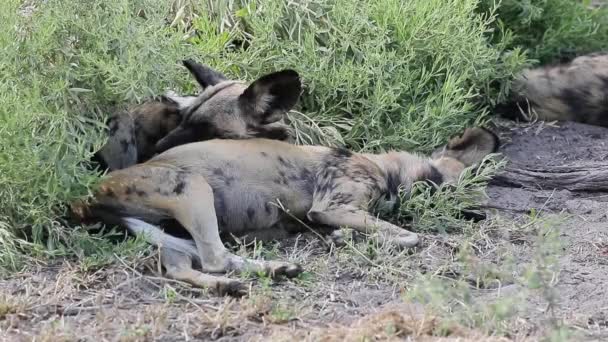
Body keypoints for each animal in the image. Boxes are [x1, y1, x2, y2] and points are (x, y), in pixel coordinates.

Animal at [72, 124, 498, 296]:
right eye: (437, 180)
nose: (433, 198)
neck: (384, 170)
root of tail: (88, 196)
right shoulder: (331, 206)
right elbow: (409, 236)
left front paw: (344, 238)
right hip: (194, 189)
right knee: (214, 257)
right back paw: (268, 270)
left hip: (171, 228)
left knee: (187, 266)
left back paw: (258, 276)